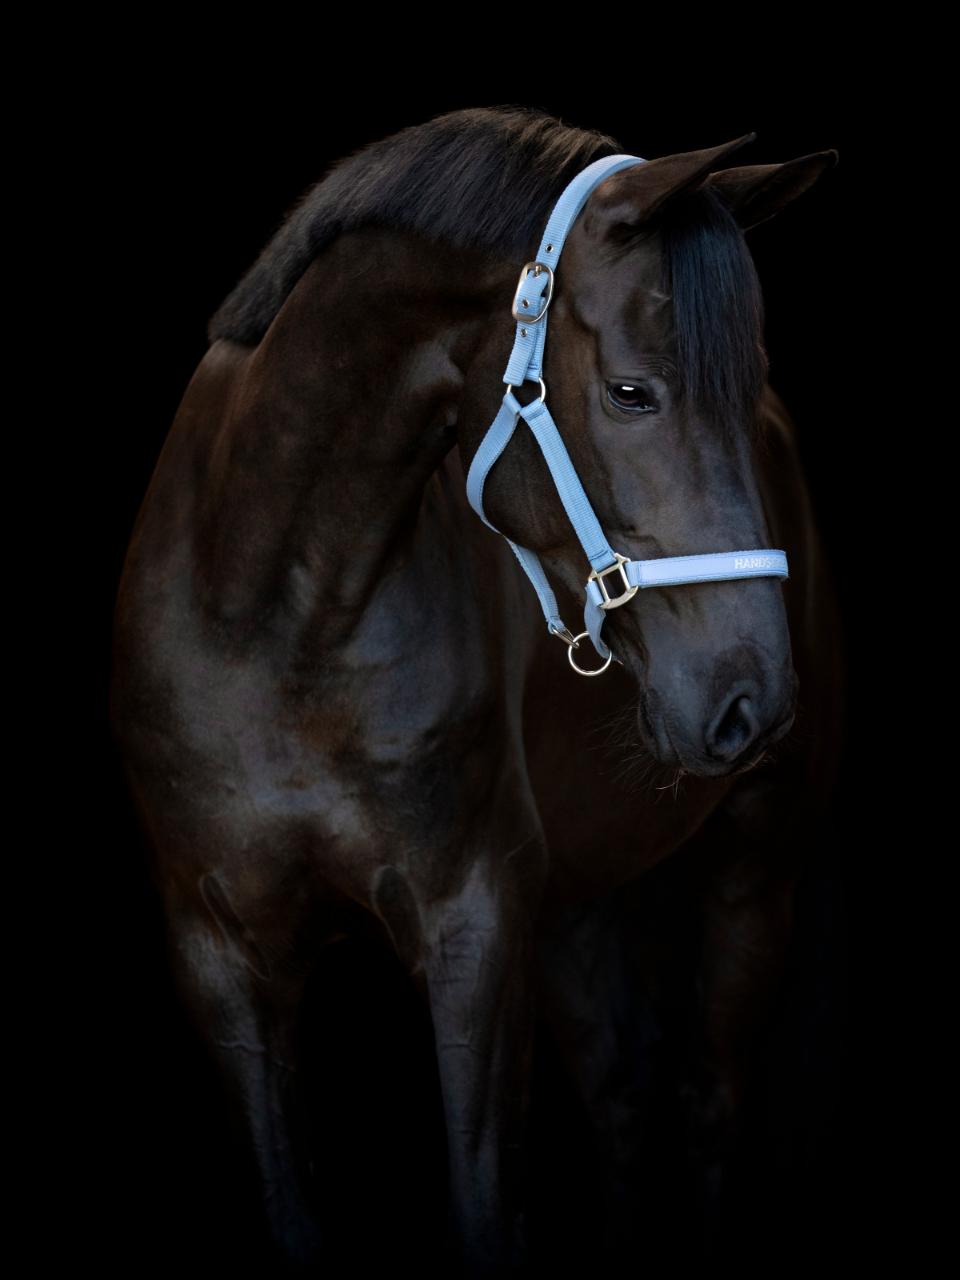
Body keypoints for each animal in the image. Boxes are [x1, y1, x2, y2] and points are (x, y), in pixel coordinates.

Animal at [109, 104, 844, 1275]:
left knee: (706, 1102)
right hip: (575, 901)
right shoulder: (218, 954)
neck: (272, 620)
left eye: (748, 384)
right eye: (632, 391)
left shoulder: (477, 930)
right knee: (624, 1097)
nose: (751, 701)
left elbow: (486, 1208)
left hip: (754, 869)